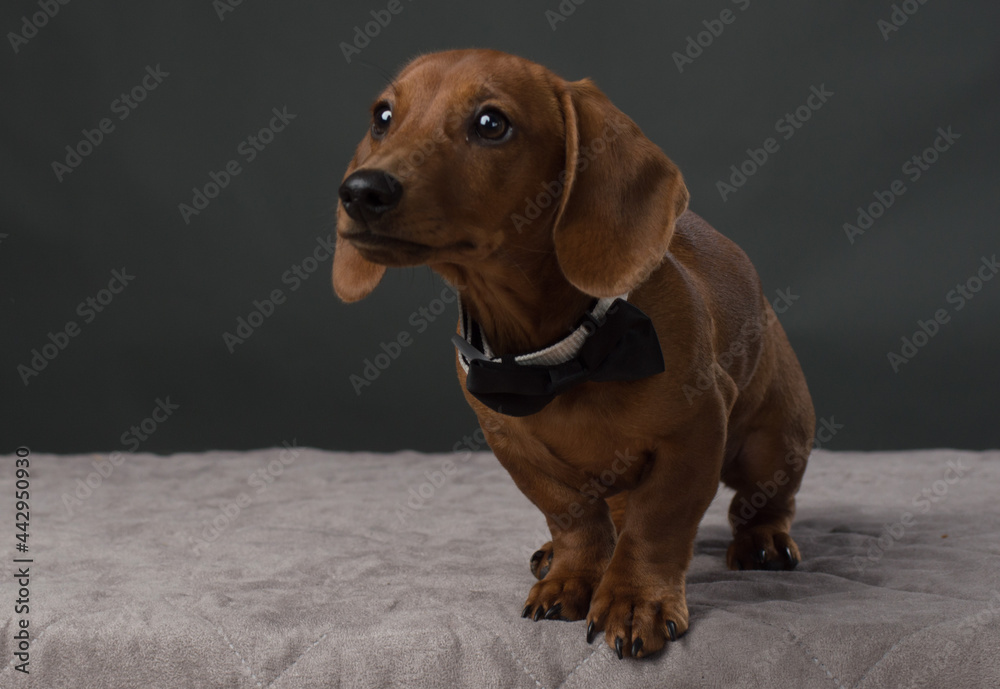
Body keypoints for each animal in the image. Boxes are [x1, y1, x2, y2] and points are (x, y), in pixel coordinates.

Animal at [332, 51, 816, 660]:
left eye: (491, 123)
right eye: (382, 117)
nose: (360, 191)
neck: (562, 358)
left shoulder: (696, 433)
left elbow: (658, 524)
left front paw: (636, 600)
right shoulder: (514, 447)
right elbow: (573, 518)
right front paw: (574, 577)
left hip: (773, 441)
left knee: (762, 501)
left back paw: (764, 541)